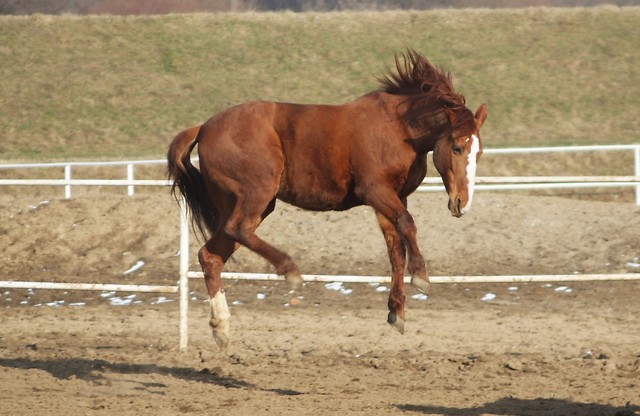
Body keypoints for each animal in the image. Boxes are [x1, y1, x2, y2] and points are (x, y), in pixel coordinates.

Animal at [168, 49, 488, 352]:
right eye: (457, 147)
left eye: (479, 151)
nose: (462, 203)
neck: (398, 128)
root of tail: (204, 127)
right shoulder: (377, 191)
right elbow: (408, 226)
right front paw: (421, 276)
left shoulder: (393, 199)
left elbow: (395, 250)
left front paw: (396, 311)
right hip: (257, 193)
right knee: (238, 229)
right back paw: (290, 270)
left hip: (243, 203)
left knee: (211, 255)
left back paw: (221, 328)